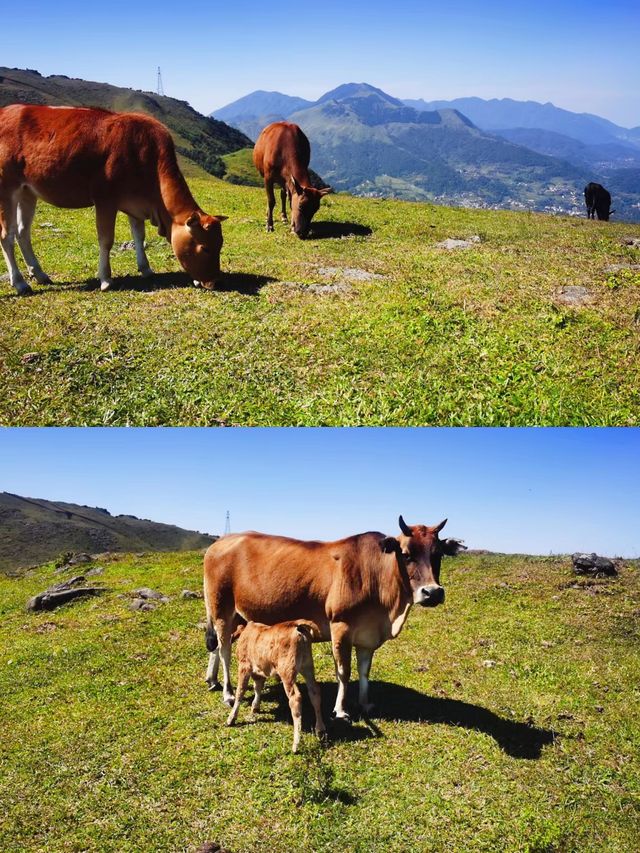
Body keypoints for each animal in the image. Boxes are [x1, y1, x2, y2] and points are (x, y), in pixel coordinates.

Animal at [0, 104, 229, 292]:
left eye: (221, 244)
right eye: (205, 247)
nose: (215, 282)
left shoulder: (136, 203)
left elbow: (139, 236)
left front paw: (146, 268)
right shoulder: (105, 200)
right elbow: (106, 240)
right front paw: (105, 279)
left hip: (27, 191)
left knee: (22, 232)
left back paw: (39, 274)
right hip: (7, 187)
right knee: (7, 235)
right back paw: (20, 282)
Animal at [202, 520, 462, 720]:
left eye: (438, 554)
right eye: (406, 554)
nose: (432, 592)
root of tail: (219, 542)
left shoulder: (367, 635)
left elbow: (364, 670)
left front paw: (365, 703)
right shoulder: (341, 627)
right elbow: (343, 672)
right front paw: (340, 709)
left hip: (236, 615)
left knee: (217, 646)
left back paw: (212, 680)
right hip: (221, 607)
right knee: (224, 650)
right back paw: (228, 693)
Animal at [225, 620, 324, 752]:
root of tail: (296, 625)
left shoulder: (244, 666)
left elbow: (240, 692)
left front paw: (231, 718)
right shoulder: (258, 670)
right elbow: (258, 687)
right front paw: (255, 707)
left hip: (287, 670)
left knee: (295, 698)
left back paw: (295, 744)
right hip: (307, 666)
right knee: (315, 692)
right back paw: (320, 729)